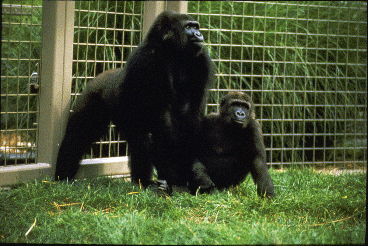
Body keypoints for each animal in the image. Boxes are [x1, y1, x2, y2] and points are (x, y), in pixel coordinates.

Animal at [54, 10, 216, 190]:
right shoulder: (149, 61)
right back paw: (63, 176)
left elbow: (190, 116)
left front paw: (195, 173)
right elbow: (163, 122)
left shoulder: (201, 61)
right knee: (78, 136)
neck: (171, 51)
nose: (199, 34)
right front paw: (182, 175)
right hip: (92, 96)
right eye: (188, 27)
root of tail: (103, 75)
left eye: (196, 27)